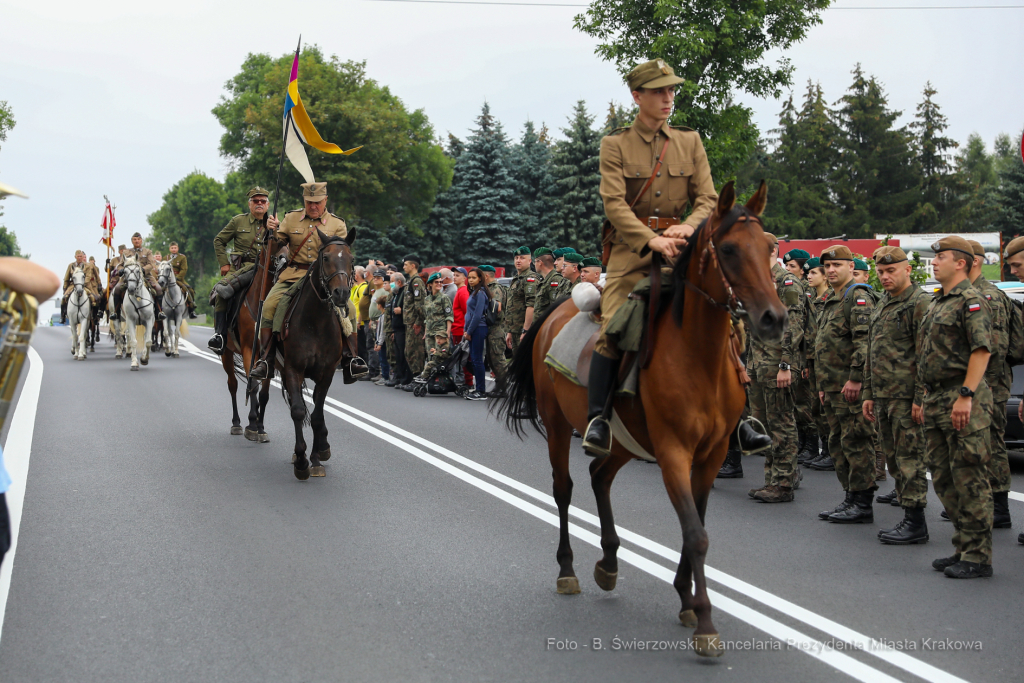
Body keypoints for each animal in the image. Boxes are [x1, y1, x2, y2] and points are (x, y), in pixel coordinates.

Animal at [495, 180, 782, 655]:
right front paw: (705, 620)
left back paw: (609, 561)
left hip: (625, 439)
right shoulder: (673, 453)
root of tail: (558, 308)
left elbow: (696, 526)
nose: (773, 318)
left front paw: (686, 598)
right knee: (564, 489)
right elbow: (695, 534)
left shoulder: (710, 456)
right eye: (729, 249)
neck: (698, 356)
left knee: (599, 475)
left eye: (769, 246)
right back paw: (568, 570)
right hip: (558, 425)